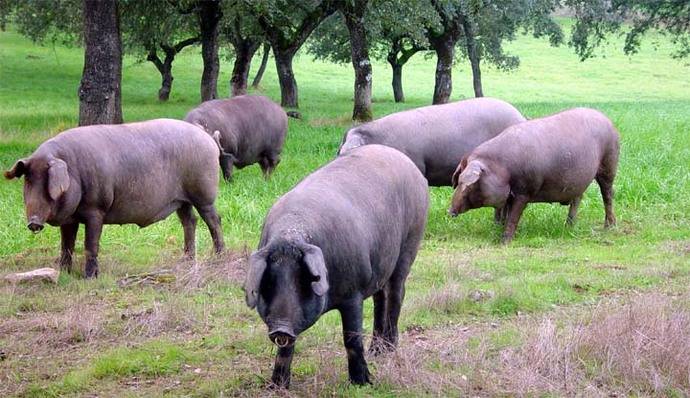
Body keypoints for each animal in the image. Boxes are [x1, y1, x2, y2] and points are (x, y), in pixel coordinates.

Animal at [5, 119, 226, 278]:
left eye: (47, 183)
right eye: (28, 182)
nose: (33, 223)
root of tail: (207, 138)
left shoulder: (96, 210)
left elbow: (90, 245)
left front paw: (89, 278)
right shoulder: (69, 219)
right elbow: (66, 246)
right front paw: (64, 274)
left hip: (203, 194)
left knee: (214, 220)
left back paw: (219, 256)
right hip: (181, 200)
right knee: (190, 221)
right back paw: (187, 260)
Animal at [242, 145, 424, 388]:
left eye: (304, 280)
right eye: (269, 282)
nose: (282, 328)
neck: (291, 235)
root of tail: (405, 160)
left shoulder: (354, 292)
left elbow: (352, 338)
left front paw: (362, 383)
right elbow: (285, 350)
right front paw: (277, 386)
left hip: (410, 242)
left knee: (397, 294)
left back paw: (389, 351)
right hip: (380, 265)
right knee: (380, 299)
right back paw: (376, 352)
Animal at [446, 107, 620, 243]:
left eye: (471, 185)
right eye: (458, 181)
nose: (449, 211)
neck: (503, 168)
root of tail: (609, 121)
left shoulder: (525, 191)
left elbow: (513, 216)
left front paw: (504, 241)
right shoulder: (509, 195)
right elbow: (505, 213)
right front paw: (498, 231)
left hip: (609, 164)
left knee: (608, 195)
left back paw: (609, 227)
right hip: (580, 182)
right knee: (577, 199)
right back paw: (568, 226)